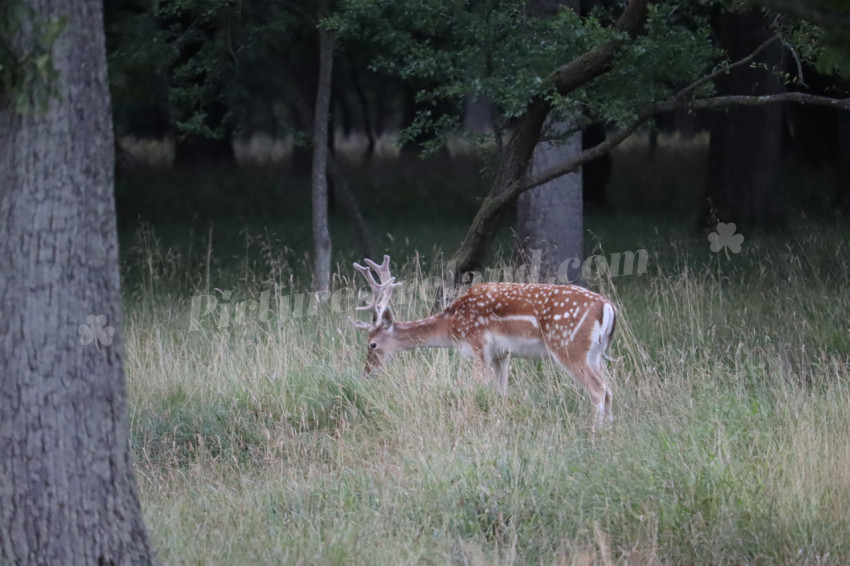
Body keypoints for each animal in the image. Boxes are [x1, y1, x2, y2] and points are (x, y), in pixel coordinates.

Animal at [350, 255, 618, 424]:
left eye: (372, 344)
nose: (367, 372)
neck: (452, 324)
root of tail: (607, 307)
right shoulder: (502, 354)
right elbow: (501, 392)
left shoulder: (478, 345)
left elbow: (479, 387)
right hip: (594, 353)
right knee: (608, 390)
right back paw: (609, 430)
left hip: (569, 345)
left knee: (598, 389)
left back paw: (593, 431)